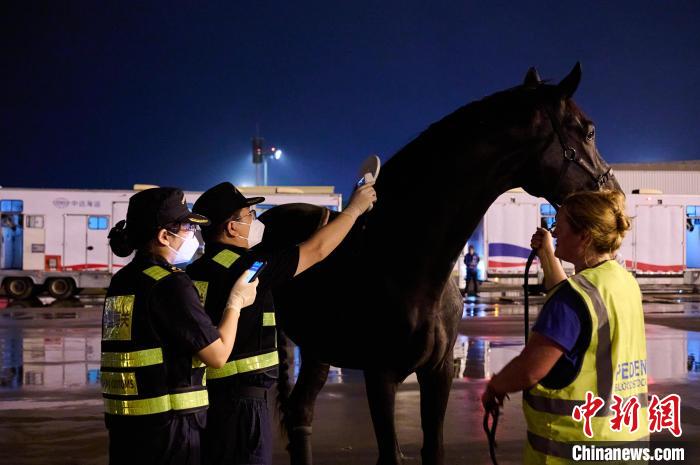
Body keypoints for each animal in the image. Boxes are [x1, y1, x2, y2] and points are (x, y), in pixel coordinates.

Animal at [258, 64, 616, 464]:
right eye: (589, 130)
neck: (405, 260)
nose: (614, 192)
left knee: (301, 412)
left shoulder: (438, 371)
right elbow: (391, 454)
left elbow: (434, 448)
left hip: (318, 349)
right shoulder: (379, 374)